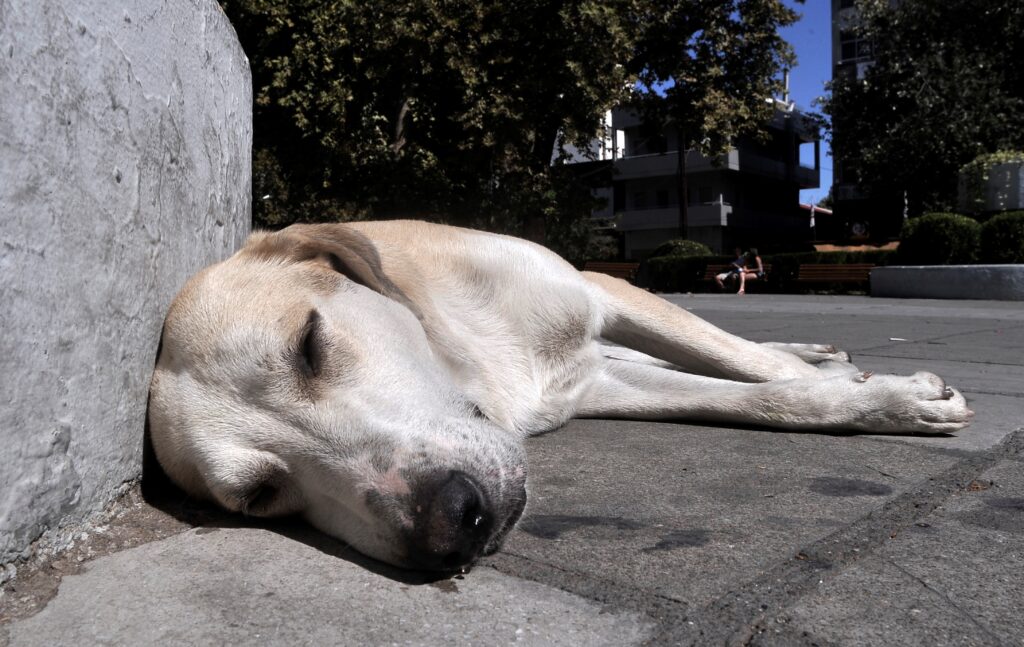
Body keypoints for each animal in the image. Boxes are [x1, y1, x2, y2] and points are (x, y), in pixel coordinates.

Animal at [148, 221, 970, 569]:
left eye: (310, 344)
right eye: (260, 495)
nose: (455, 524)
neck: (476, 365)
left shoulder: (600, 289)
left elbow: (748, 367)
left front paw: (889, 394)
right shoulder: (598, 383)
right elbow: (749, 395)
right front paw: (865, 397)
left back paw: (819, 353)